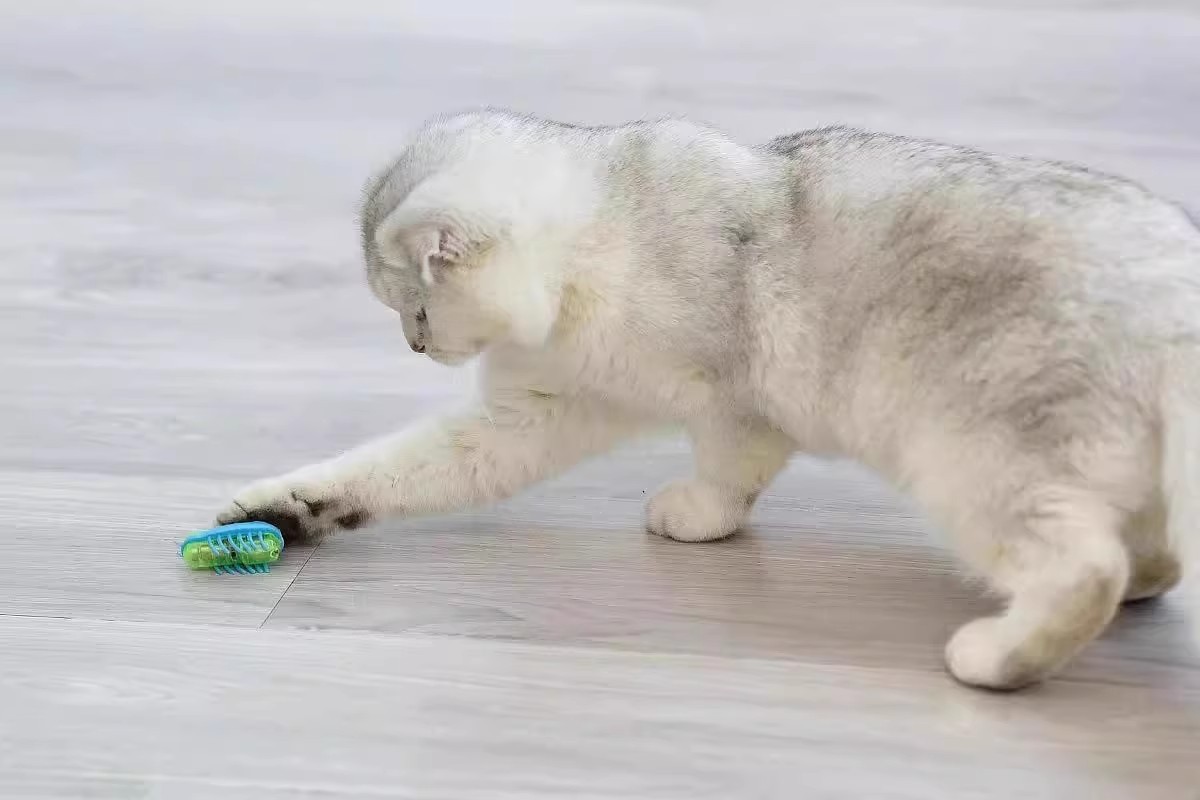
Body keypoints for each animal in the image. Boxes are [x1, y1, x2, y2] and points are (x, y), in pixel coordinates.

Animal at [215, 109, 1200, 690]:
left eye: (416, 308)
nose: (416, 347)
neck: (595, 249)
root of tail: (1176, 288)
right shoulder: (534, 414)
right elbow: (392, 469)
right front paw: (284, 508)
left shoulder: (734, 401)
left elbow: (729, 469)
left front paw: (694, 516)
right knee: (1140, 553)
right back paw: (1137, 583)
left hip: (971, 460)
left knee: (1084, 566)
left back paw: (995, 657)